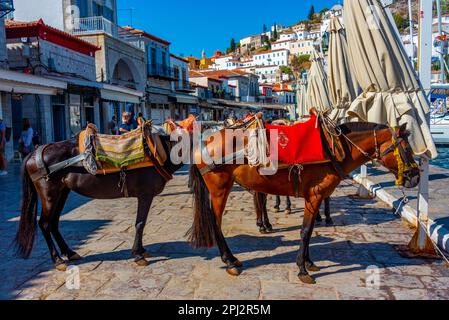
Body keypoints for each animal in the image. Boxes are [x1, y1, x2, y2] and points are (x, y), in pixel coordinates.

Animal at [14, 127, 182, 270]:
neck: (157, 152)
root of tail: (35, 152)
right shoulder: (145, 195)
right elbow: (140, 223)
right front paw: (138, 254)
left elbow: (140, 223)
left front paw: (141, 250)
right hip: (49, 195)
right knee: (44, 224)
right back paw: (57, 260)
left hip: (62, 193)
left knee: (53, 223)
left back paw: (69, 253)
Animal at [187, 120, 418, 284]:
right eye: (407, 149)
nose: (415, 176)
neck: (334, 148)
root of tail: (204, 142)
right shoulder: (314, 197)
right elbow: (306, 231)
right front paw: (302, 268)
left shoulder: (314, 198)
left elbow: (310, 229)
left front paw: (309, 262)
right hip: (220, 189)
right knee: (215, 223)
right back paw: (229, 260)